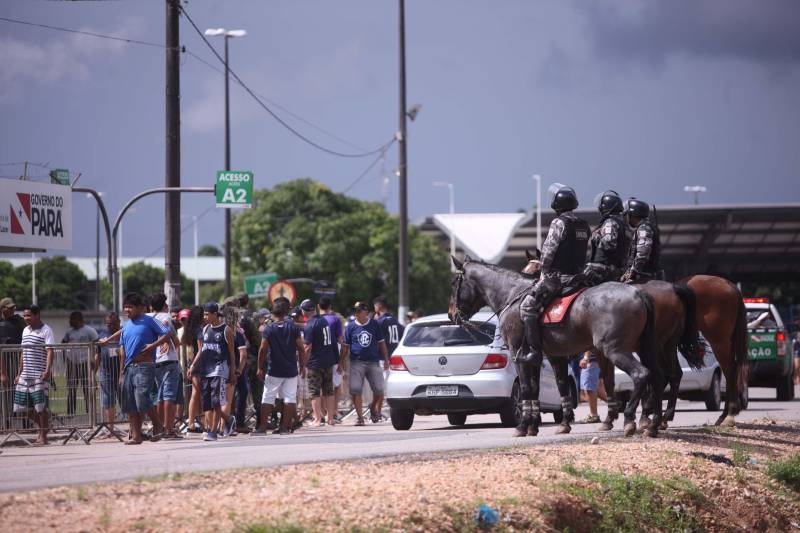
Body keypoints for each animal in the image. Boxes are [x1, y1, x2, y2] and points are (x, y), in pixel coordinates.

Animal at [444, 258, 664, 436]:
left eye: (454, 283)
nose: (451, 314)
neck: (512, 295)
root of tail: (638, 293)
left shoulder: (518, 354)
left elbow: (526, 388)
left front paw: (523, 426)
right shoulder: (548, 356)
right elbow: (550, 387)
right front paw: (546, 425)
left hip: (615, 350)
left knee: (641, 374)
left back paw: (630, 419)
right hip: (641, 349)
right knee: (658, 377)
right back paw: (653, 424)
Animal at [520, 250, 700, 432]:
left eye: (534, 270)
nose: (531, 291)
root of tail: (672, 288)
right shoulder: (602, 352)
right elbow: (608, 380)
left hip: (652, 347)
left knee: (656, 375)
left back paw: (649, 417)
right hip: (665, 345)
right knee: (670, 375)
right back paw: (660, 417)